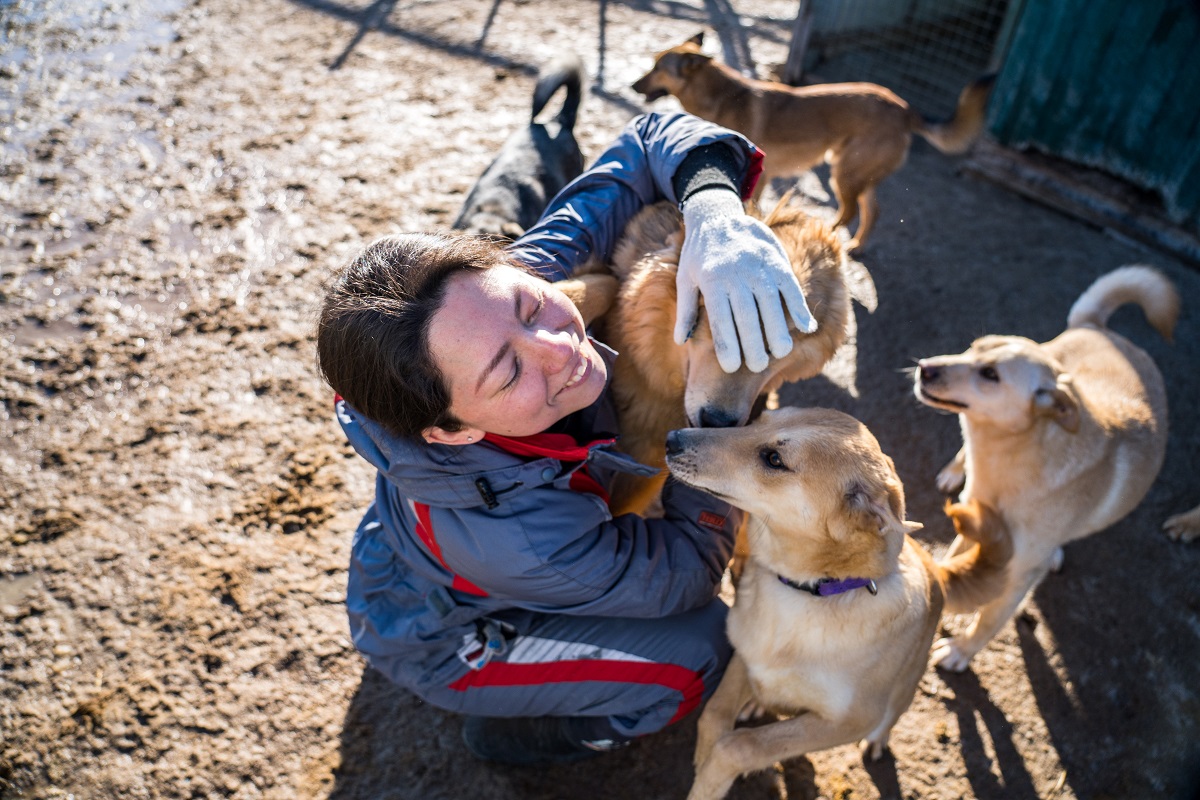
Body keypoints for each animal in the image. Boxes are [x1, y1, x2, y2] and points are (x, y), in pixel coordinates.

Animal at [628, 32, 993, 251]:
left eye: (658, 68)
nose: (633, 86)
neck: (718, 95)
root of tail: (905, 108)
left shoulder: (757, 178)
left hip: (843, 174)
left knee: (848, 212)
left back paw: (826, 238)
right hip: (857, 173)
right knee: (872, 211)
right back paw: (856, 247)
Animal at [667, 410, 1012, 796]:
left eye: (774, 459)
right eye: (758, 420)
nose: (672, 439)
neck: (808, 592)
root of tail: (933, 564)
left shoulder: (848, 721)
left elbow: (741, 745)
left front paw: (711, 777)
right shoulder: (745, 655)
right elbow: (713, 716)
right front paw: (704, 763)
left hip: (905, 688)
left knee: (890, 716)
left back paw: (877, 741)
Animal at [916, 263, 1180, 671]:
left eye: (990, 374)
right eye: (971, 349)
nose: (924, 368)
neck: (1018, 458)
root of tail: (1099, 329)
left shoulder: (1019, 572)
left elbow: (989, 618)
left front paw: (961, 650)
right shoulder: (975, 524)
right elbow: (955, 563)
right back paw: (954, 470)